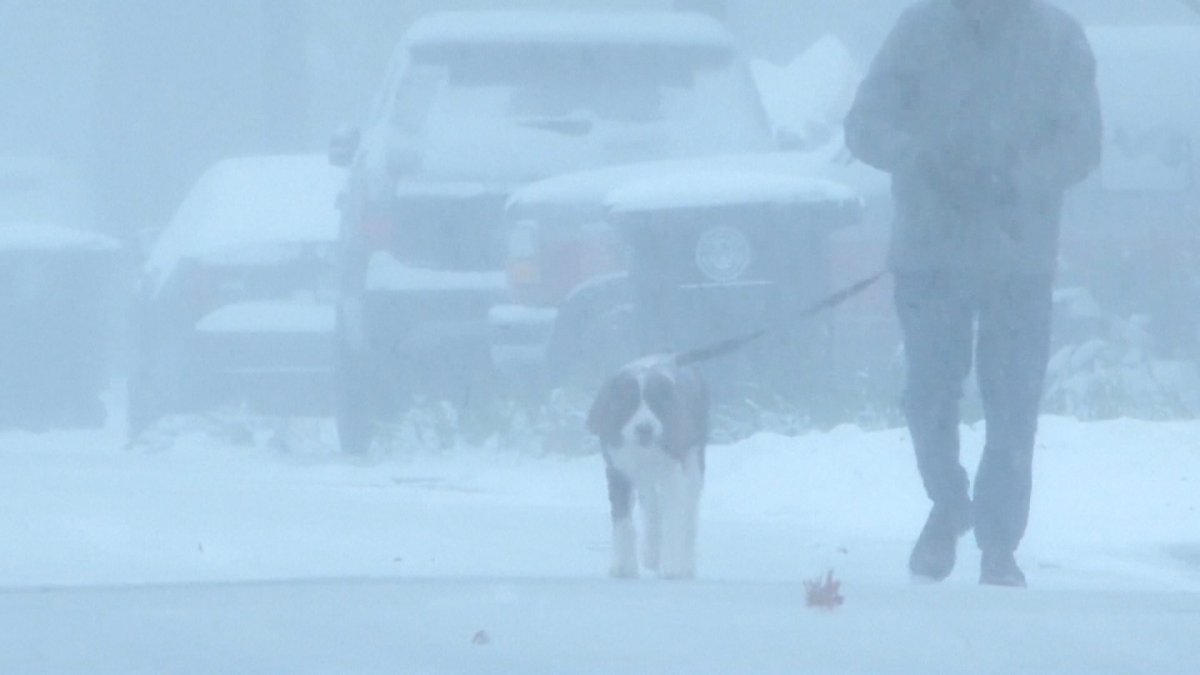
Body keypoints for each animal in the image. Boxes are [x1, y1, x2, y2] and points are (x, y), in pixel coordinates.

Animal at [585, 353, 705, 578]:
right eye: (628, 403)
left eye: (657, 402)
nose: (644, 429)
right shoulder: (617, 471)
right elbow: (622, 519)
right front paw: (623, 566)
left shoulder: (673, 472)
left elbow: (674, 515)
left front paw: (673, 566)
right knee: (652, 506)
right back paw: (651, 553)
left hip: (694, 458)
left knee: (688, 509)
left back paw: (685, 562)